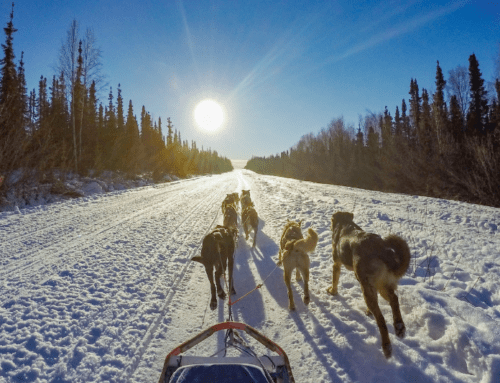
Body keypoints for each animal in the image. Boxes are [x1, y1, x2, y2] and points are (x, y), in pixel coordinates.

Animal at [328, 213, 410, 360]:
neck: (344, 223)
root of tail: (382, 249)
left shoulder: (336, 264)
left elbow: (334, 280)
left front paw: (332, 291)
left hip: (367, 286)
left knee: (381, 319)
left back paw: (387, 347)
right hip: (382, 285)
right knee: (394, 300)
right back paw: (399, 327)